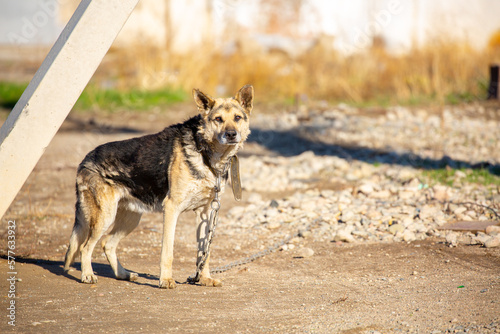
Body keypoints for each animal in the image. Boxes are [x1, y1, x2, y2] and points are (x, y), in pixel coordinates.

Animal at [64, 85, 254, 288]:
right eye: (218, 119)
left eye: (237, 118)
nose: (231, 135)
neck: (206, 154)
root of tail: (85, 160)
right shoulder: (171, 208)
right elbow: (167, 252)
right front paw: (166, 279)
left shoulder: (206, 212)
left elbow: (205, 252)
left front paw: (203, 278)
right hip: (105, 217)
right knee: (85, 247)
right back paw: (87, 275)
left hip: (130, 219)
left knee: (107, 243)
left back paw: (123, 274)